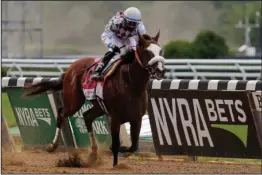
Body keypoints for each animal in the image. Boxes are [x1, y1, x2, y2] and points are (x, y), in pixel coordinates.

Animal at [23, 31, 166, 167]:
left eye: (160, 51)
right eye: (147, 51)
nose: (160, 70)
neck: (131, 84)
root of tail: (71, 67)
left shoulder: (136, 118)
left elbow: (133, 146)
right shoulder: (115, 117)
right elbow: (116, 145)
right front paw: (115, 164)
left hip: (99, 107)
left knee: (87, 116)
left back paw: (93, 152)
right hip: (74, 102)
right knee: (61, 113)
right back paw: (52, 146)